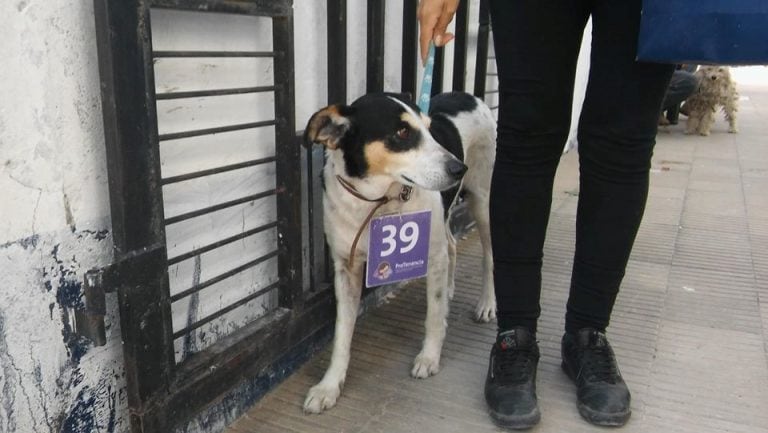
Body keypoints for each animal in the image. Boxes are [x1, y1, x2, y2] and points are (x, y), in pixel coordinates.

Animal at [304, 91, 496, 412]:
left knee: (489, 256)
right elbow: (342, 334)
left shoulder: (431, 254)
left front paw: (429, 357)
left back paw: (486, 304)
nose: (459, 168)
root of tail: (469, 95)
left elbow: (433, 315)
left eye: (430, 129)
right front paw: (329, 385)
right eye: (402, 132)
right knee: (452, 245)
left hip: (482, 199)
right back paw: (451, 287)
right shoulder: (345, 269)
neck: (377, 201)